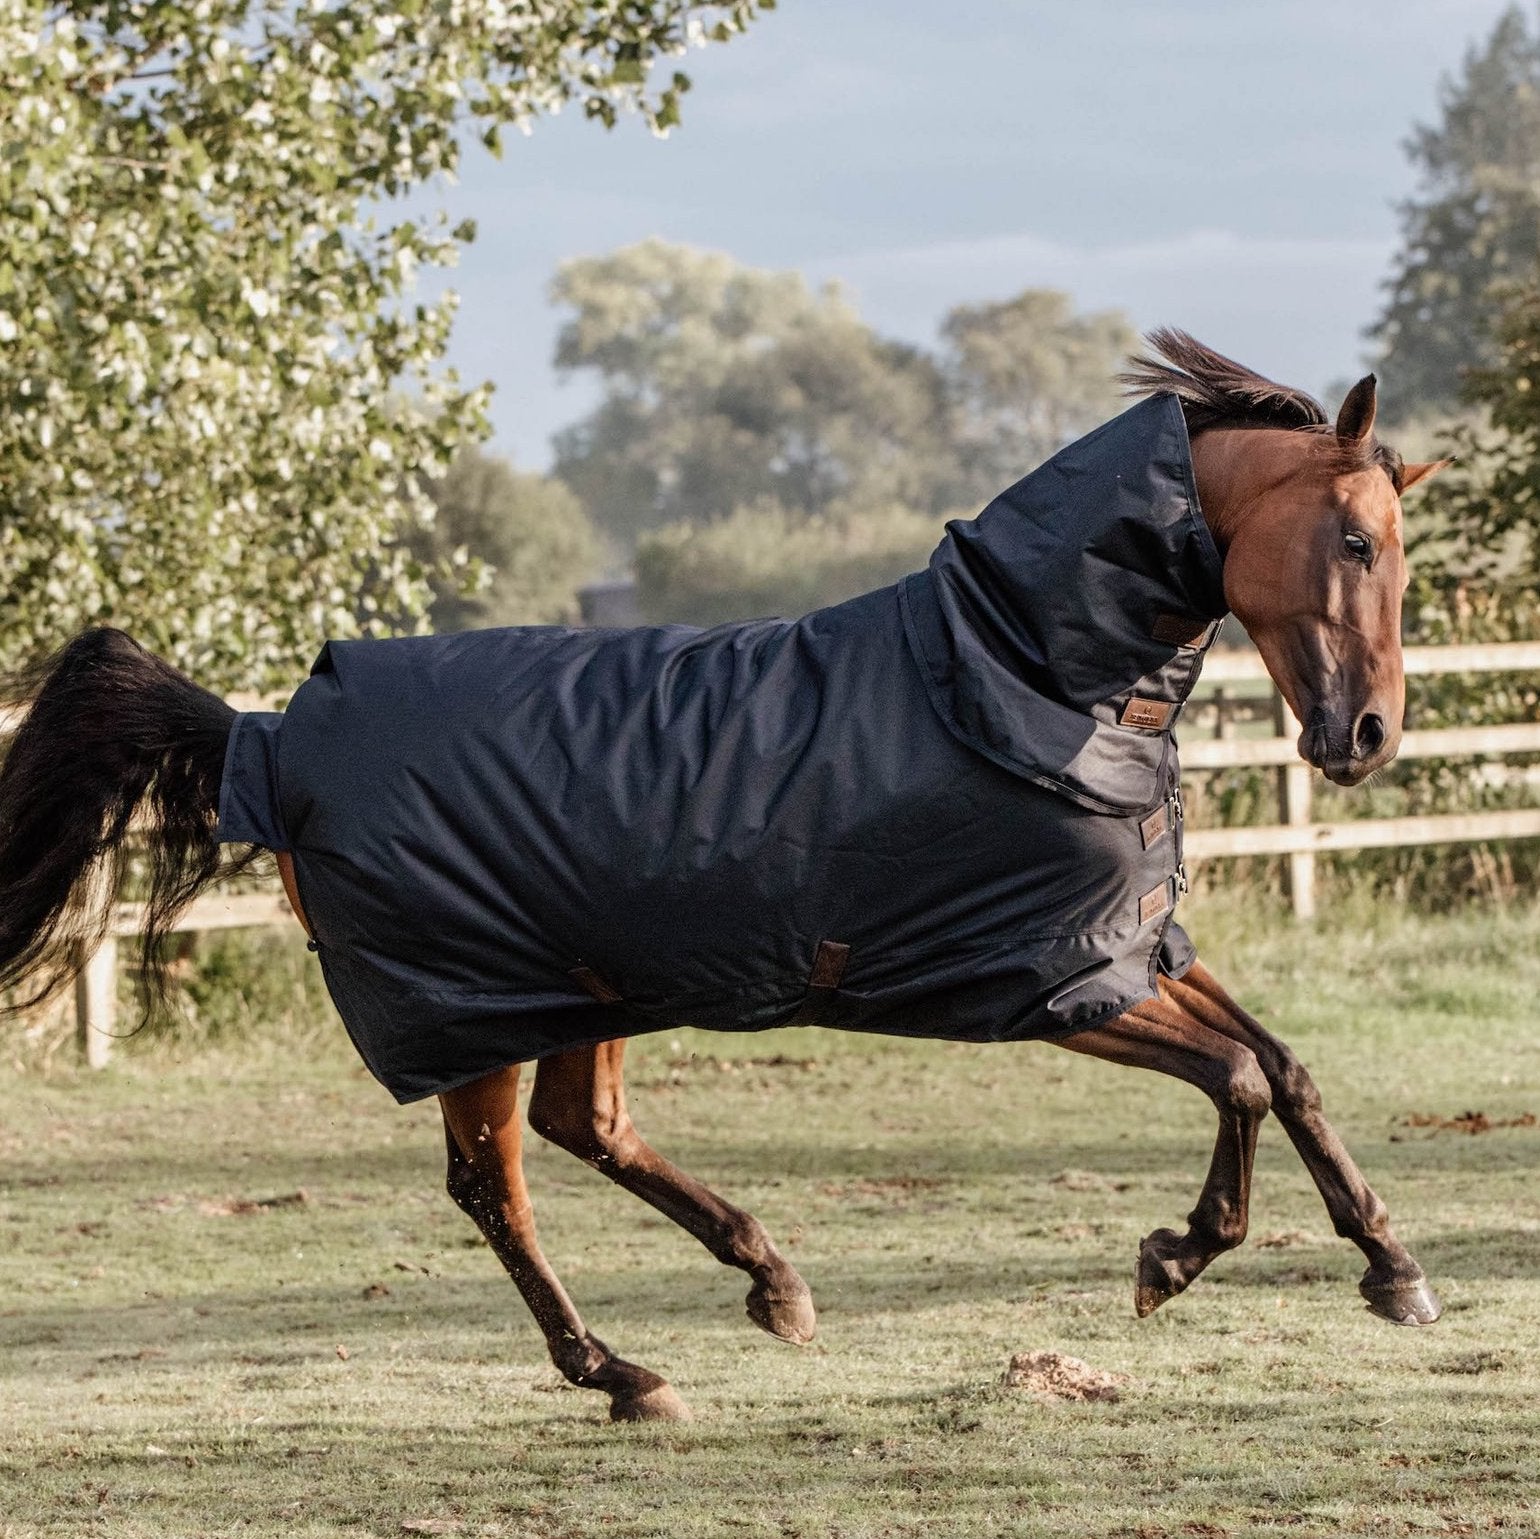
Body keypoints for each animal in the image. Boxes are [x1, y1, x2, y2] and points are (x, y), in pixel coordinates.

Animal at [0, 334, 1441, 1417]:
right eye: (1355, 542)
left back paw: (767, 1281)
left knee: (585, 1129)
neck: (1021, 675)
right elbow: (1241, 1075)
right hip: (474, 1013)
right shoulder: (1048, 983)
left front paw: (1392, 1269)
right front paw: (1173, 1259)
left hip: (583, 989)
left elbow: (1287, 1069)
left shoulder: (1130, 950)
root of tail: (265, 731)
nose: (1368, 735)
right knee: (496, 1184)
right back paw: (624, 1372)